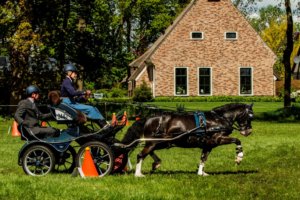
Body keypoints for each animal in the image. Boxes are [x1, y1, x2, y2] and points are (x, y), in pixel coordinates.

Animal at [120, 103, 254, 177]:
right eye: (250, 116)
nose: (248, 132)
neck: (219, 119)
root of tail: (148, 118)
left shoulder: (208, 145)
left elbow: (203, 158)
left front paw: (201, 173)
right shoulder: (218, 139)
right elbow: (237, 140)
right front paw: (239, 157)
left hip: (161, 142)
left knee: (147, 152)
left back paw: (156, 163)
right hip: (155, 142)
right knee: (140, 154)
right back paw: (138, 174)